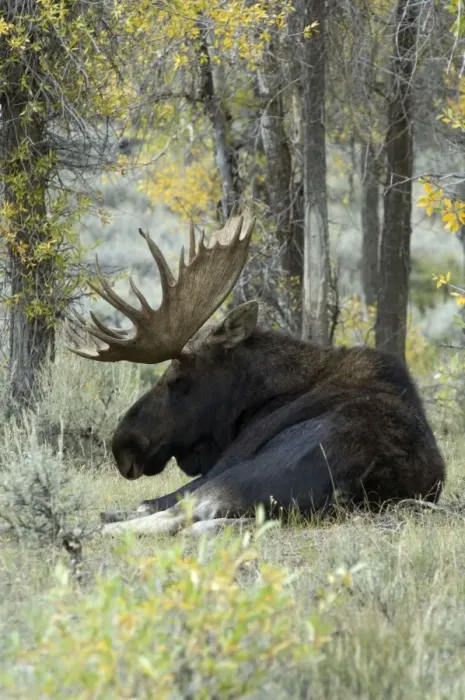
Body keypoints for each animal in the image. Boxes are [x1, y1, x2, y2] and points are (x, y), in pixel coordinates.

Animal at [68, 208, 446, 536]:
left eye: (176, 379)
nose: (123, 445)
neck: (253, 403)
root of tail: (359, 486)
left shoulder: (226, 460)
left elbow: (147, 502)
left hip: (238, 476)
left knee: (175, 515)